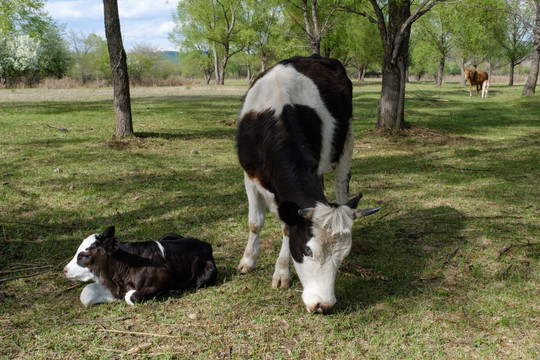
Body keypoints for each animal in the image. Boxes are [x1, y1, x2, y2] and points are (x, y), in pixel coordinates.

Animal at [62, 225, 216, 306]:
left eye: (84, 256)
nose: (65, 270)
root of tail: (205, 244)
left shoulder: (163, 281)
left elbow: (130, 296)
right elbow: (86, 293)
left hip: (209, 270)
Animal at [236, 54, 380, 314]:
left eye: (344, 253)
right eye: (307, 250)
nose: (324, 304)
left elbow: (286, 228)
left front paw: (281, 272)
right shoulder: (249, 176)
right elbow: (255, 222)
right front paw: (248, 261)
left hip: (347, 138)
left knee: (341, 184)